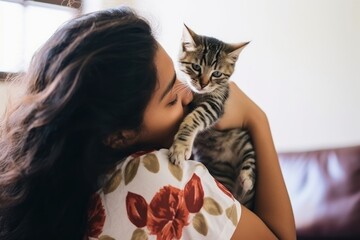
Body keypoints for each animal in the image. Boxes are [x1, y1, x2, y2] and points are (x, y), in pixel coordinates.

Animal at [169, 24, 256, 208]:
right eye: (196, 67)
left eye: (216, 74)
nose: (203, 84)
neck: (199, 94)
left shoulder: (216, 103)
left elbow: (194, 117)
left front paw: (180, 148)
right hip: (219, 170)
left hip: (244, 140)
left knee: (250, 159)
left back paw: (246, 180)